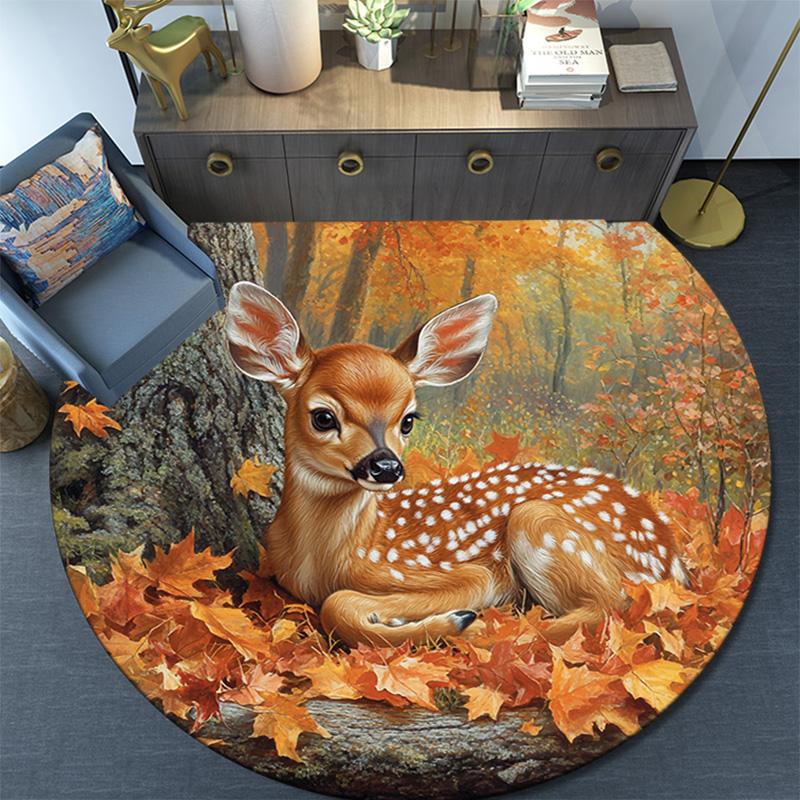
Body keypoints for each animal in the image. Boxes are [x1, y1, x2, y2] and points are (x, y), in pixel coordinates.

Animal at [224, 282, 690, 647]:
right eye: (323, 417)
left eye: (408, 420)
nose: (386, 467)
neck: (328, 559)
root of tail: (671, 559)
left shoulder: (462, 573)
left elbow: (338, 605)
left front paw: (448, 619)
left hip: (540, 522)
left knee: (607, 606)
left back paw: (483, 626)